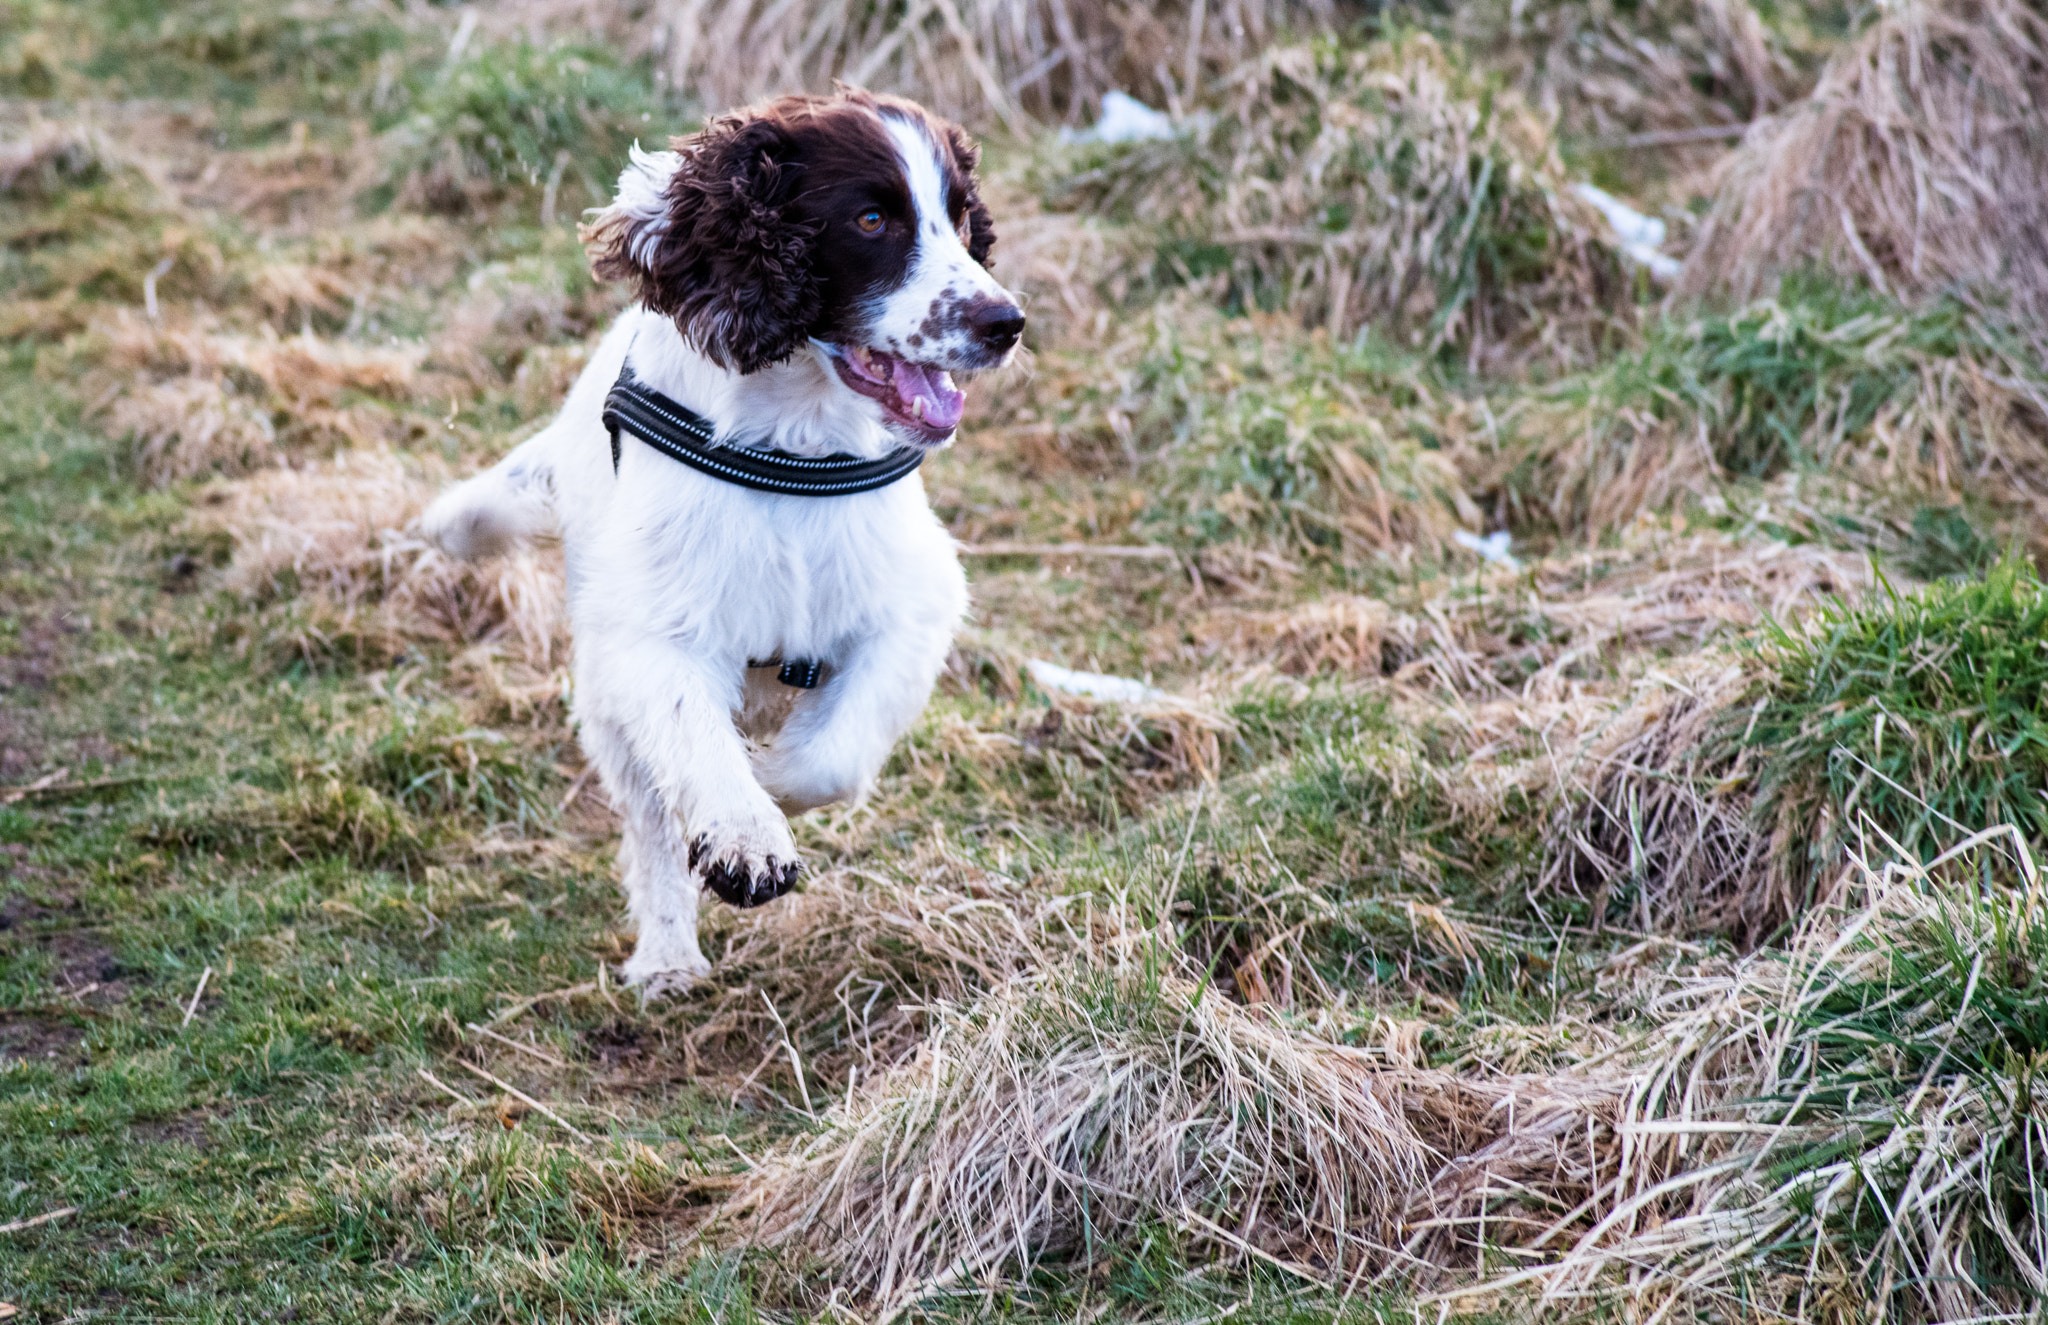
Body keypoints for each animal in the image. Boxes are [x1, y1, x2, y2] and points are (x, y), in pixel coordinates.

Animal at [421, 85, 1024, 995]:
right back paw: (668, 958)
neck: (795, 449)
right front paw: (748, 836)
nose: (1005, 322)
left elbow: (837, 750)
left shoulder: (914, 604)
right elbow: (696, 742)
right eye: (872, 219)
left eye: (959, 217)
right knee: (650, 822)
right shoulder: (652, 634)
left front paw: (773, 780)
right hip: (603, 688)